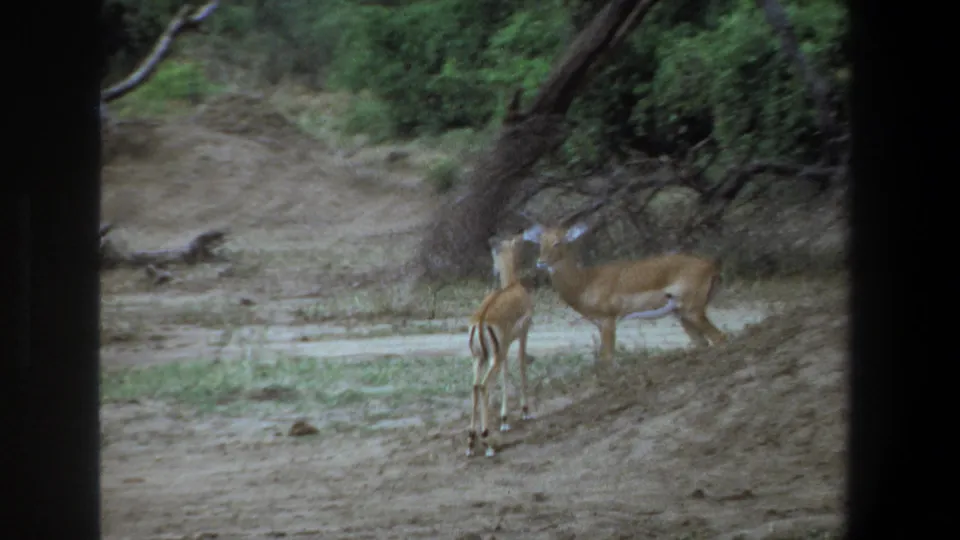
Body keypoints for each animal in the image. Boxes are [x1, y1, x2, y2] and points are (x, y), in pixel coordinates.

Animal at [466, 233, 534, 457]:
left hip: (479, 358)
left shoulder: (504, 348)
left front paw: (505, 420)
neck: (512, 285)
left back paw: (471, 442)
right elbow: (521, 365)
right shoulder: (523, 335)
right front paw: (525, 411)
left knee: (475, 386)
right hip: (492, 358)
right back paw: (487, 441)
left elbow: (505, 373)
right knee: (484, 385)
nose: (493, 272)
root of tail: (480, 321)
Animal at [522, 221, 726, 364]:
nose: (541, 262)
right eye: (541, 242)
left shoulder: (608, 320)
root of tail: (710, 265)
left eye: (558, 242)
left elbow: (608, 358)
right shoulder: (599, 324)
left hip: (693, 311)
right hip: (681, 314)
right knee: (703, 343)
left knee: (720, 338)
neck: (585, 282)